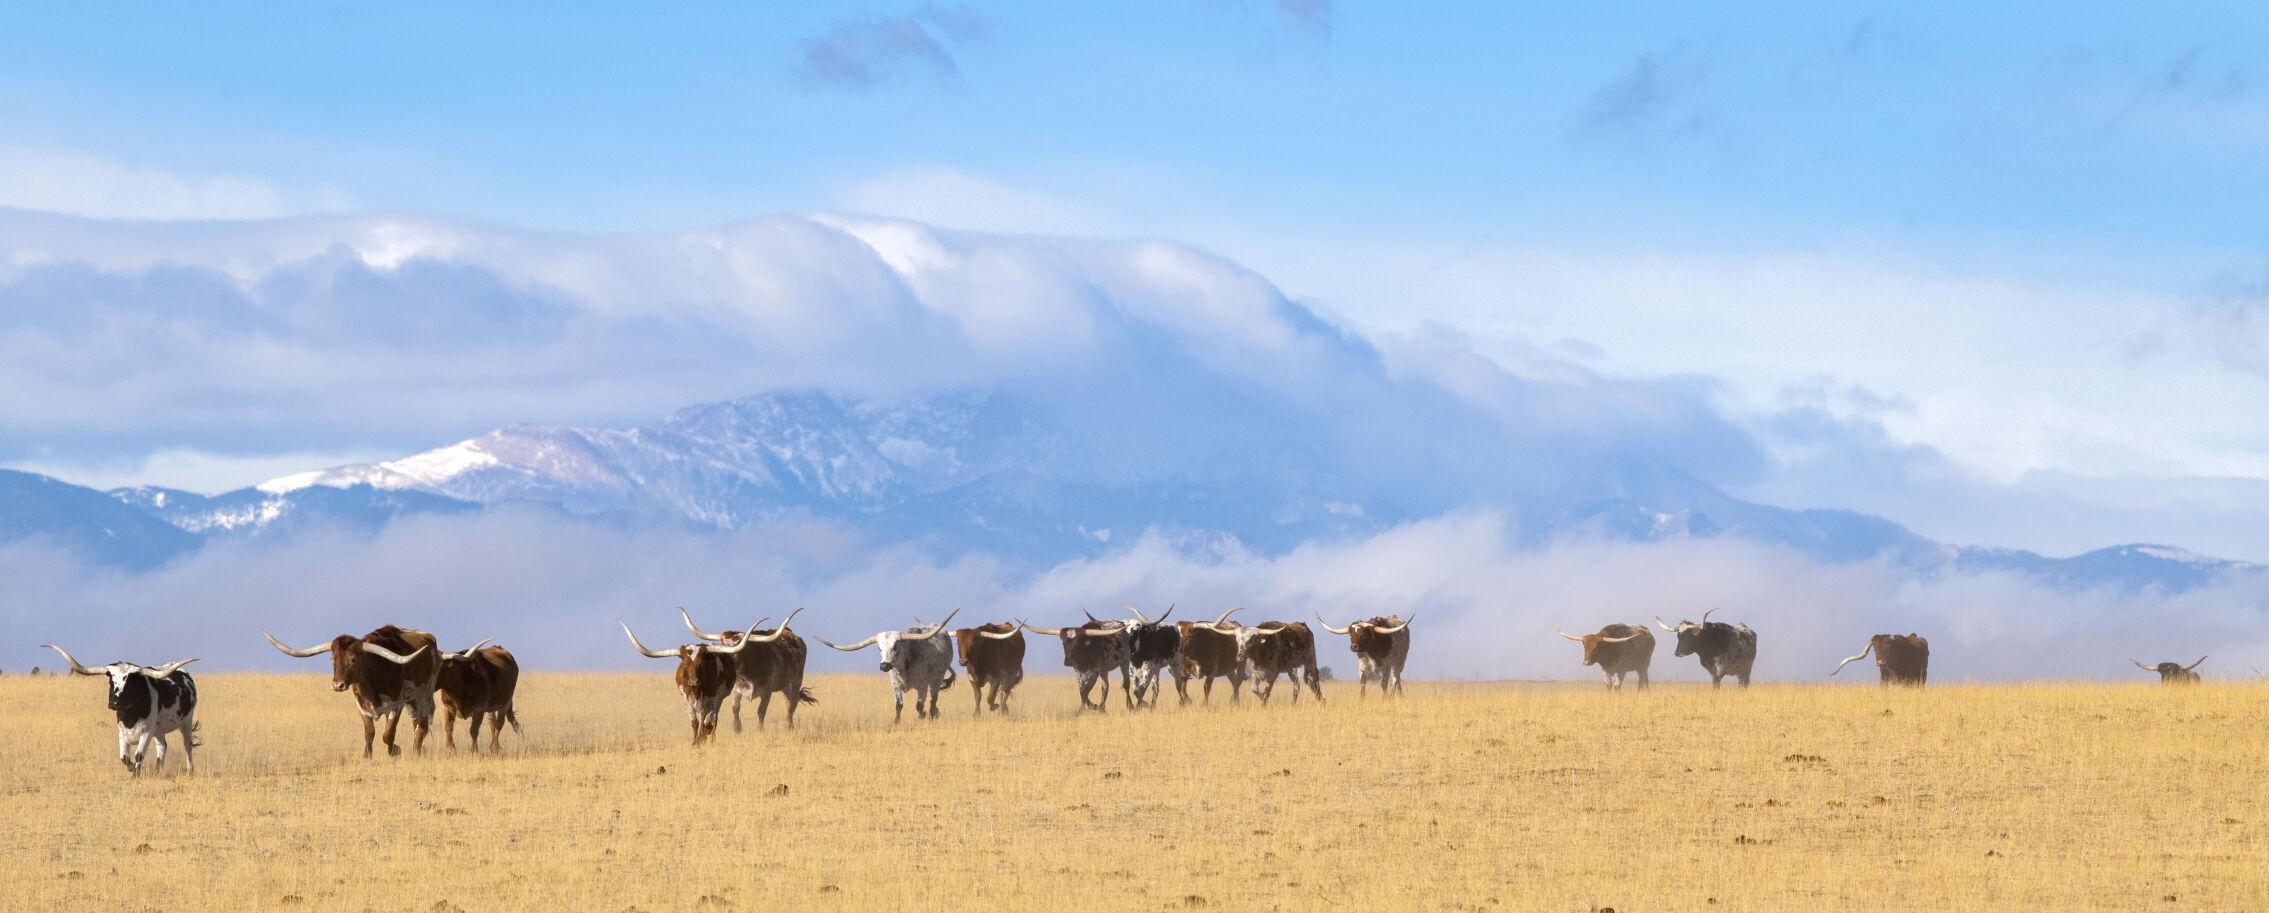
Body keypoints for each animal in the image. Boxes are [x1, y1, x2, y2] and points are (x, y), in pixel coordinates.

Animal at [40, 645, 199, 776]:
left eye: (131, 683)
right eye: (110, 681)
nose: (114, 703)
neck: (130, 715)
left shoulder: (147, 731)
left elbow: (139, 754)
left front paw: (136, 774)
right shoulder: (122, 731)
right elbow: (124, 758)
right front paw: (132, 768)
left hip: (186, 721)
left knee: (187, 745)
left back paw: (190, 769)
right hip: (159, 729)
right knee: (162, 746)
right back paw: (158, 770)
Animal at [264, 626, 440, 758]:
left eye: (354, 659)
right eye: (332, 658)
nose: (338, 685)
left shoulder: (396, 705)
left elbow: (388, 734)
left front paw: (395, 750)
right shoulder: (361, 705)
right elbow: (369, 732)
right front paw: (367, 756)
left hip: (423, 697)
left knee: (421, 726)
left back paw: (416, 752)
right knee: (417, 724)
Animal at [623, 619, 771, 744]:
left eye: (701, 664)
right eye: (685, 664)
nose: (693, 682)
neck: (697, 690)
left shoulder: (712, 699)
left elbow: (708, 721)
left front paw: (705, 736)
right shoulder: (687, 700)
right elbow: (694, 722)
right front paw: (695, 742)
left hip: (718, 699)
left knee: (713, 719)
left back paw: (710, 737)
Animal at [680, 607, 818, 730]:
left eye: (740, 648)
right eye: (722, 643)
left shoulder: (767, 690)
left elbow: (761, 711)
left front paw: (760, 731)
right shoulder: (735, 690)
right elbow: (735, 710)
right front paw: (737, 730)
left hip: (797, 679)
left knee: (793, 702)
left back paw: (789, 726)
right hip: (784, 684)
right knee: (788, 701)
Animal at [818, 610, 961, 723]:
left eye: (895, 646)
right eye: (879, 648)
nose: (884, 666)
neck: (904, 666)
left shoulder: (922, 685)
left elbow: (919, 705)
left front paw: (923, 716)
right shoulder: (894, 685)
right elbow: (899, 705)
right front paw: (896, 722)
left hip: (937, 677)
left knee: (933, 698)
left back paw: (932, 714)